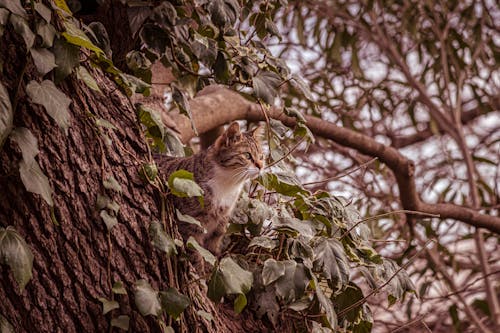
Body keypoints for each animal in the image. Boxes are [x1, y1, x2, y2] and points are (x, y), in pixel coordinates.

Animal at [156, 122, 266, 260]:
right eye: (247, 155)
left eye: (261, 156)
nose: (261, 166)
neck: (227, 185)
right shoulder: (189, 225)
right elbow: (195, 253)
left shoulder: (219, 226)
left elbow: (211, 252)